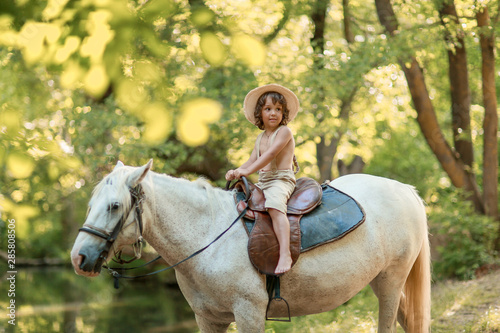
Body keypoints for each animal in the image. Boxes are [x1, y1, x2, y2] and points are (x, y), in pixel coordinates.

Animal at [70, 160, 430, 330]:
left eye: (114, 206)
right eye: (90, 204)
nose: (78, 257)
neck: (207, 237)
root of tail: (404, 190)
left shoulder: (249, 314)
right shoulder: (208, 319)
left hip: (391, 281)